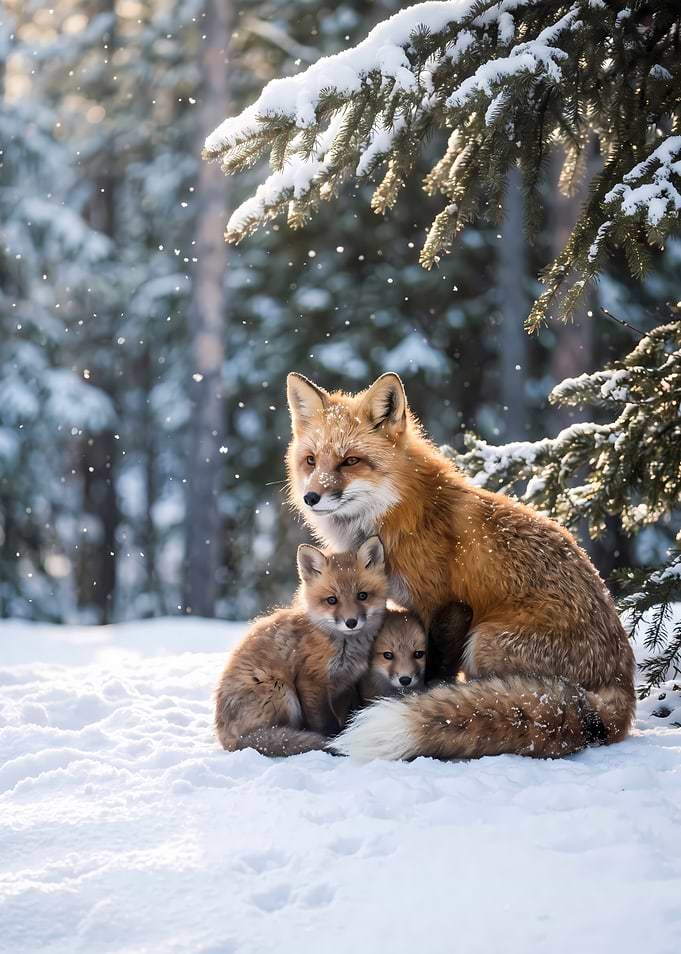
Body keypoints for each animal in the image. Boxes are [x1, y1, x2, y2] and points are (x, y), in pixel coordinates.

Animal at [214, 536, 387, 756]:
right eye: (332, 600)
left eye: (362, 596)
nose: (351, 622)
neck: (343, 646)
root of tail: (227, 740)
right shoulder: (311, 682)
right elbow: (326, 724)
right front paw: (332, 741)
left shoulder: (345, 685)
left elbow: (347, 715)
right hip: (281, 689)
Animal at [285, 371, 636, 761]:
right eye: (311, 461)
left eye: (350, 461)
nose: (311, 497)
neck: (400, 513)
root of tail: (620, 687)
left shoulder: (446, 605)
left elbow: (437, 672)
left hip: (483, 642)